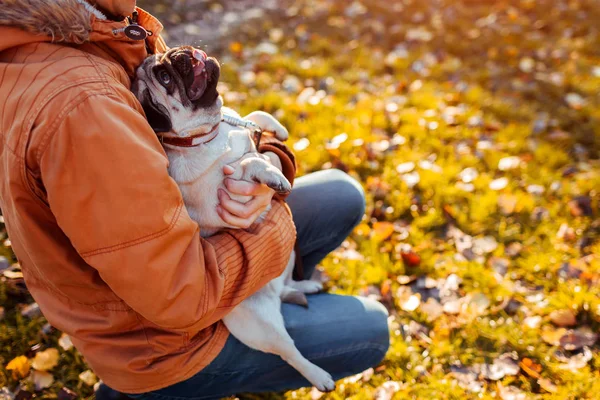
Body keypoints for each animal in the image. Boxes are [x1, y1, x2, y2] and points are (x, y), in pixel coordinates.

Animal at [131, 46, 336, 390]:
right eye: (165, 78)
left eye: (166, 57)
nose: (180, 52)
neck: (209, 134)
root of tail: (274, 295)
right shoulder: (225, 191)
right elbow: (250, 162)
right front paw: (273, 175)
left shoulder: (239, 124)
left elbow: (254, 116)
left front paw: (278, 129)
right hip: (263, 329)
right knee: (290, 351)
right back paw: (318, 375)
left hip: (290, 258)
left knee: (289, 283)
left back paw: (307, 286)